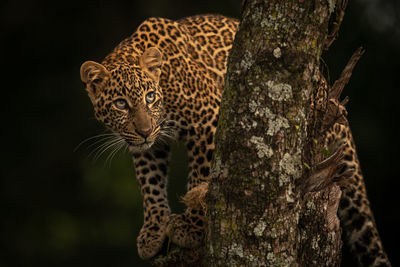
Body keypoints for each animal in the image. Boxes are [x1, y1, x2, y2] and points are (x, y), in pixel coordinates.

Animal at [80, 14, 390, 266]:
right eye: (121, 104)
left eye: (149, 97)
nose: (144, 130)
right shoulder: (148, 146)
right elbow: (149, 184)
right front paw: (153, 230)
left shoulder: (208, 119)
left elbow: (201, 175)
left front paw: (192, 227)